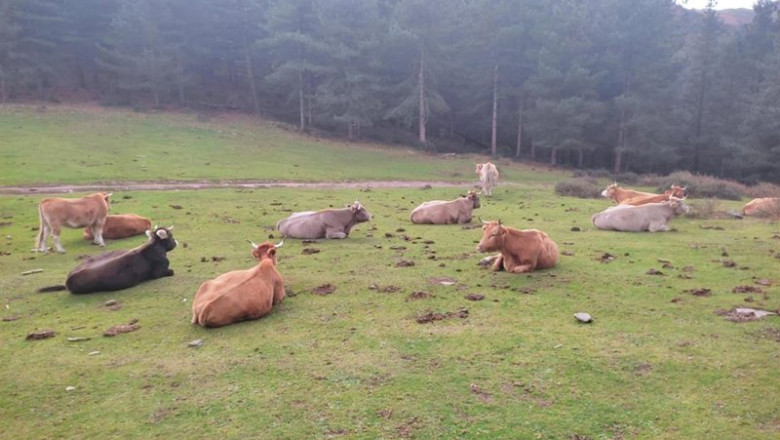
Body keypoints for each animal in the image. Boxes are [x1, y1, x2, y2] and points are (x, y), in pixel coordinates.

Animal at [37, 226, 177, 294]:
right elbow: (171, 271)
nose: (176, 242)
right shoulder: (159, 272)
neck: (154, 247)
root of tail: (68, 281)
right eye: (170, 235)